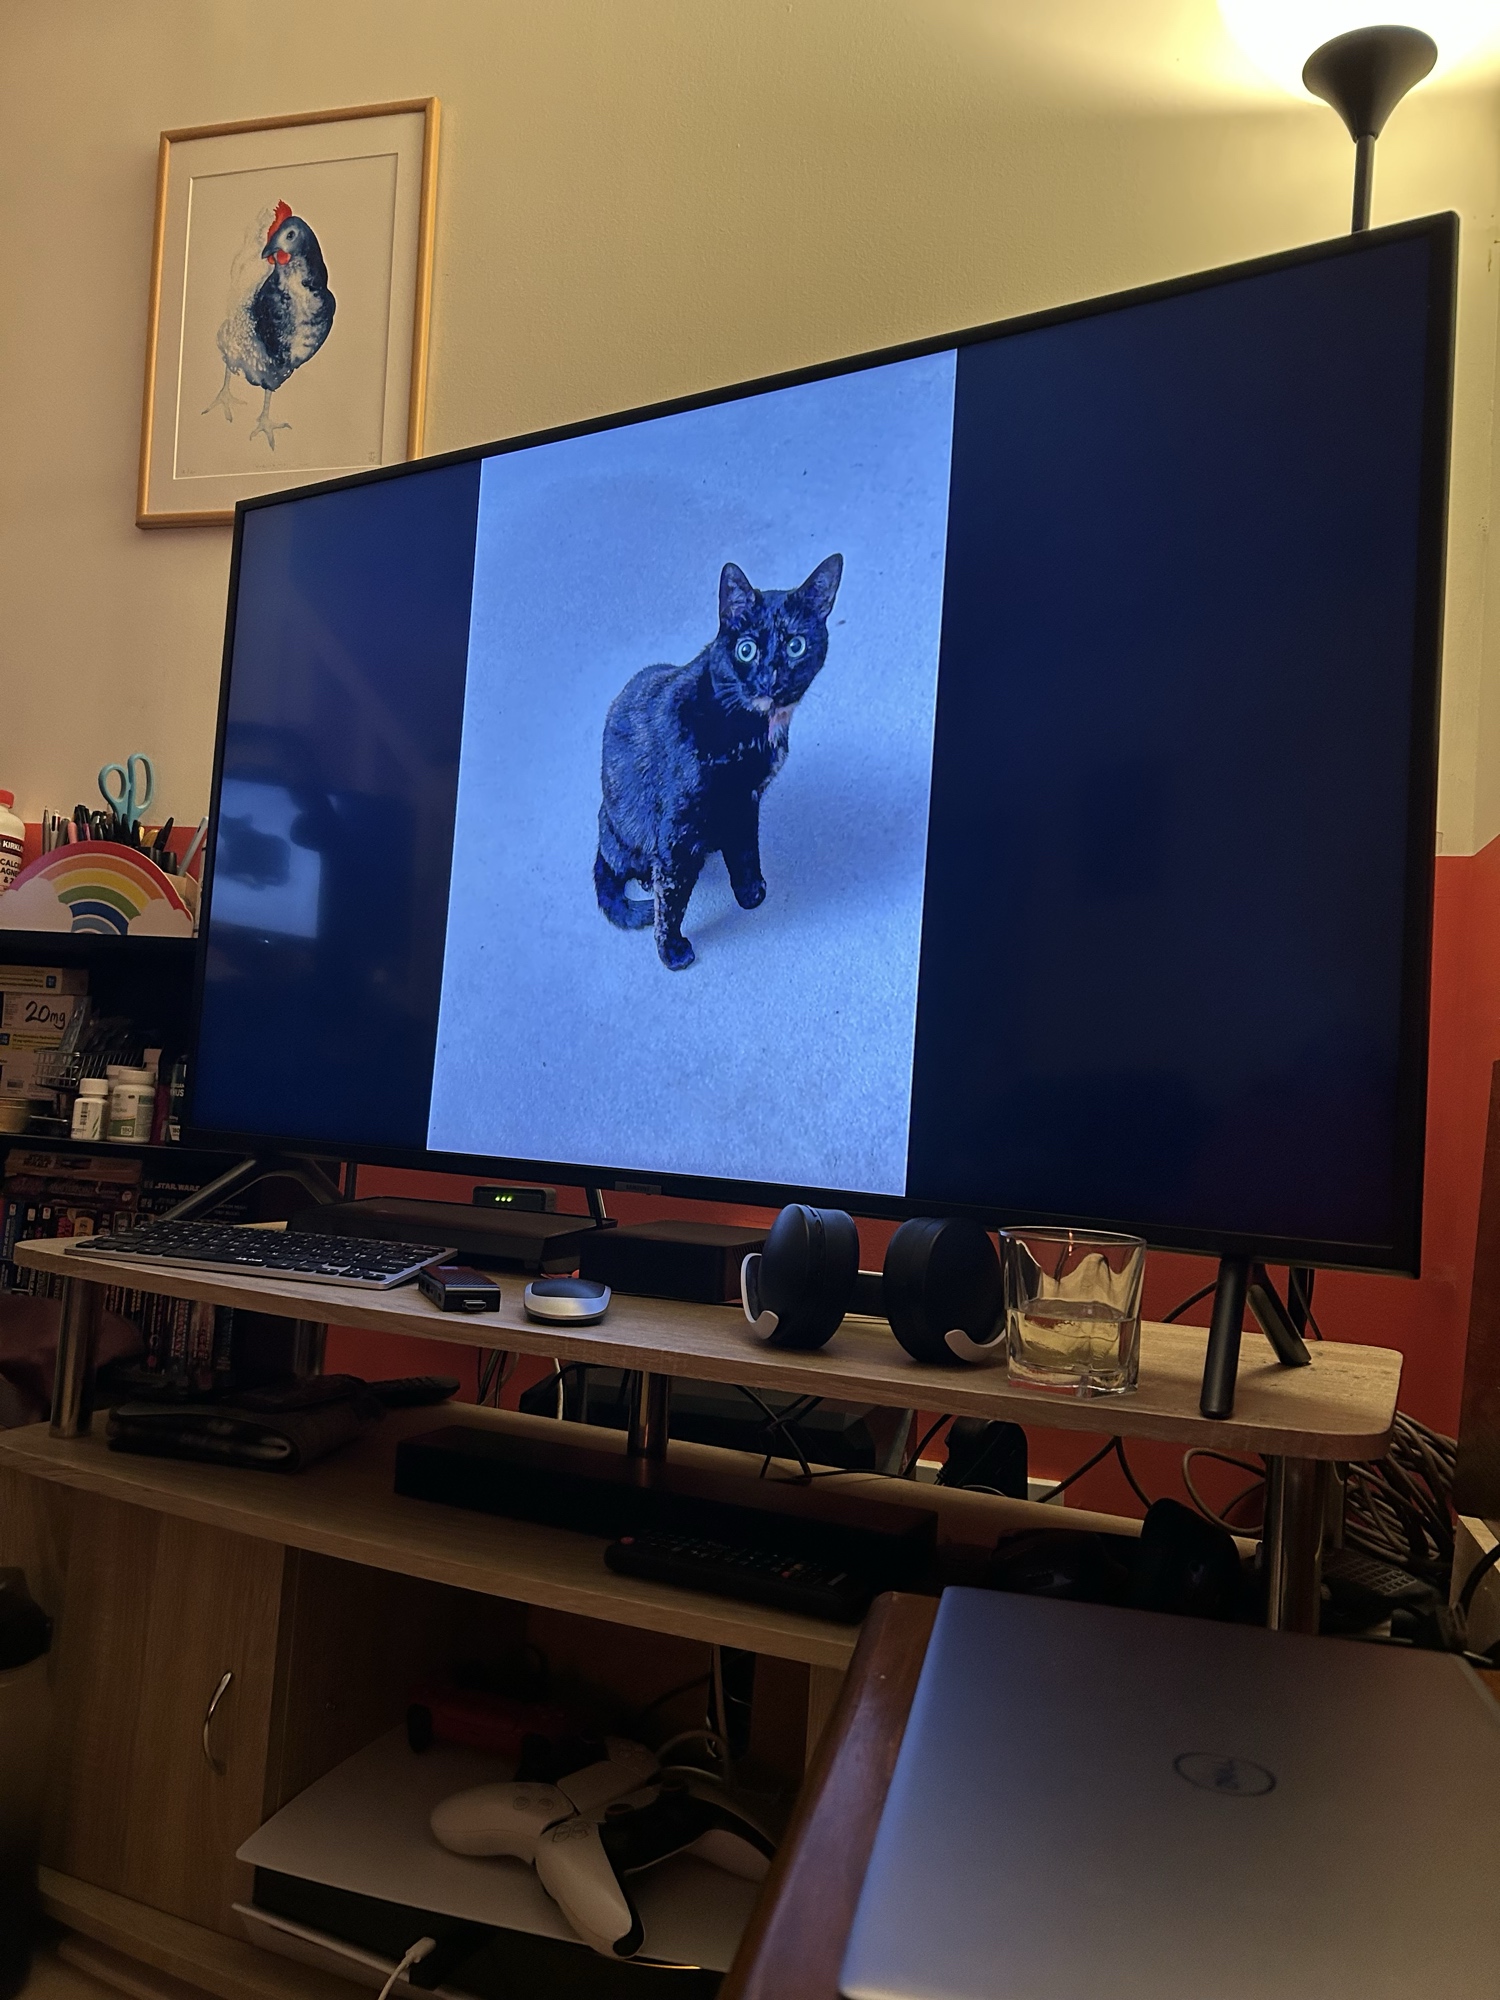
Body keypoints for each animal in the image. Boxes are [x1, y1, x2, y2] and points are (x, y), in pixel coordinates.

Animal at [594, 553, 843, 969]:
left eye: (796, 645)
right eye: (746, 649)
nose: (770, 678)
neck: (748, 727)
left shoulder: (746, 801)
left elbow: (745, 850)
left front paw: (750, 893)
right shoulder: (678, 829)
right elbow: (672, 897)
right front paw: (672, 951)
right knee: (631, 865)